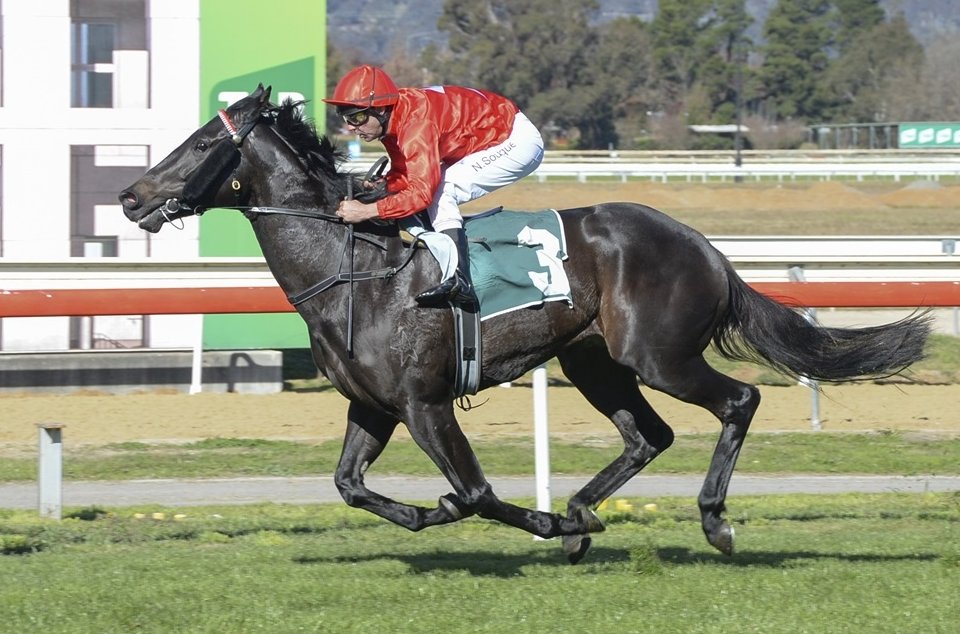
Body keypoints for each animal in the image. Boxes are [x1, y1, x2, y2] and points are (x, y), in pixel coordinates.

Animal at [118, 85, 928, 564]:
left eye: (201, 143)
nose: (131, 197)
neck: (357, 272)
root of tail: (704, 246)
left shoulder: (424, 403)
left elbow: (475, 494)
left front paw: (524, 520)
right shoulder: (372, 404)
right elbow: (349, 484)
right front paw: (442, 515)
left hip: (658, 354)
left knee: (739, 400)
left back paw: (709, 520)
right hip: (593, 361)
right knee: (649, 434)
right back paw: (582, 511)